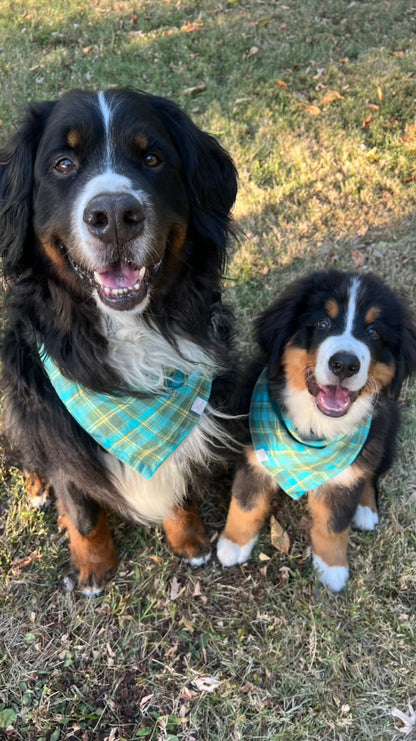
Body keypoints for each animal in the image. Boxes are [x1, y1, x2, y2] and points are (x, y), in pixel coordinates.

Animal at [0, 88, 237, 596]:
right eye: (64, 163)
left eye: (152, 158)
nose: (112, 217)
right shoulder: (57, 426)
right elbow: (81, 508)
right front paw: (93, 569)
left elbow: (178, 480)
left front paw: (188, 538)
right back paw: (37, 488)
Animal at [218, 270, 416, 588]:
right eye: (323, 323)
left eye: (373, 333)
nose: (345, 364)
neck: (314, 427)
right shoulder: (253, 453)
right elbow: (246, 503)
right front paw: (233, 544)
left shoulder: (342, 482)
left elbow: (334, 525)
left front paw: (332, 569)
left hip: (382, 434)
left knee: (369, 473)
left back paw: (365, 509)